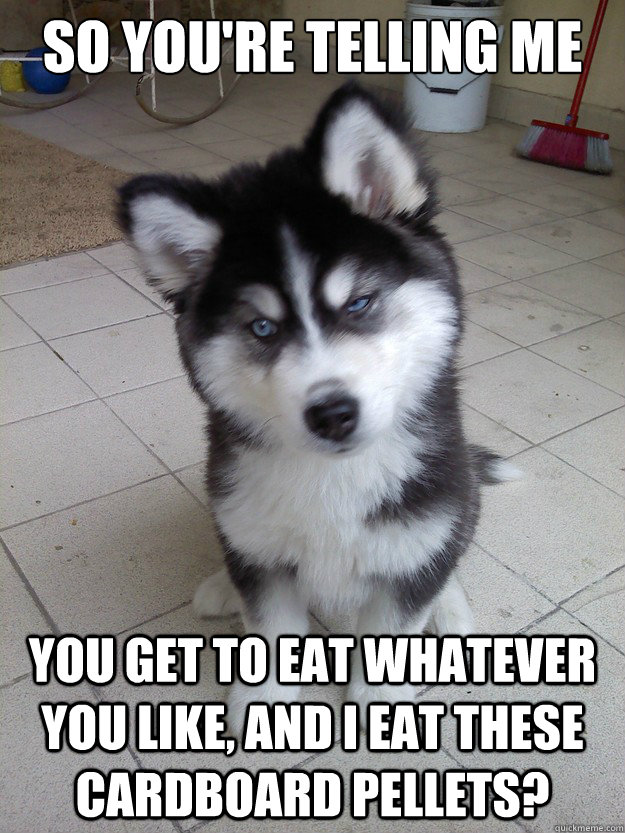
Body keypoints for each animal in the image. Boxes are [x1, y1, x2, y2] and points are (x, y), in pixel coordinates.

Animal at [118, 84, 516, 732]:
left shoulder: (421, 527)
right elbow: (270, 624)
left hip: (457, 498)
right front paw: (263, 704)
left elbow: (395, 625)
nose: (332, 414)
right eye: (262, 328)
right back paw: (222, 586)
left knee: (448, 553)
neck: (335, 477)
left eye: (359, 303)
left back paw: (451, 611)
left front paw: (379, 709)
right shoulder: (256, 543)